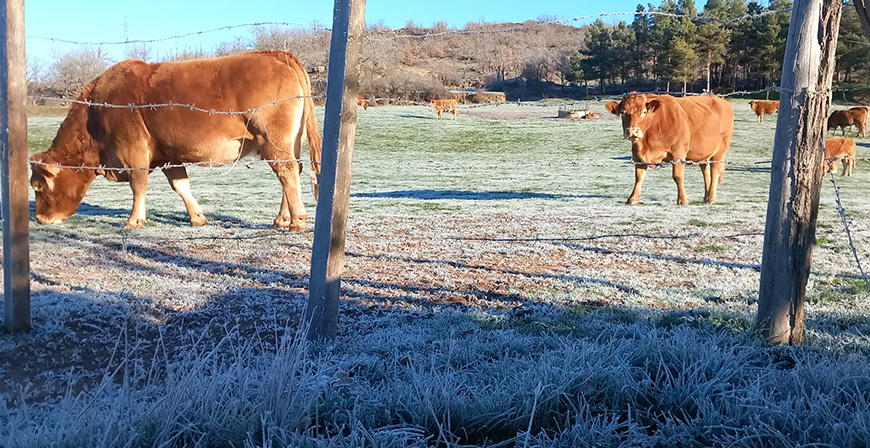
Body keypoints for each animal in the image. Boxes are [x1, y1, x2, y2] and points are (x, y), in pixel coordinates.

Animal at [30, 50, 326, 229]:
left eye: (37, 186)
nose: (41, 218)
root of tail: (276, 53)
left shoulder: (133, 149)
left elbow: (138, 184)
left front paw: (134, 220)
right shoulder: (167, 155)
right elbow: (181, 186)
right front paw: (197, 217)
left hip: (274, 139)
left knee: (287, 171)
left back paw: (297, 219)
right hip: (288, 141)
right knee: (293, 171)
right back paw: (282, 218)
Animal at [608, 94, 736, 206]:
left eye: (644, 112)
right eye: (622, 113)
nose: (632, 131)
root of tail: (723, 101)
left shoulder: (678, 153)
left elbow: (677, 176)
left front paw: (683, 199)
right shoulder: (637, 155)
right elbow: (639, 177)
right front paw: (633, 198)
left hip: (720, 150)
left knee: (715, 171)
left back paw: (712, 198)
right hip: (702, 152)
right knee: (706, 171)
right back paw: (707, 196)